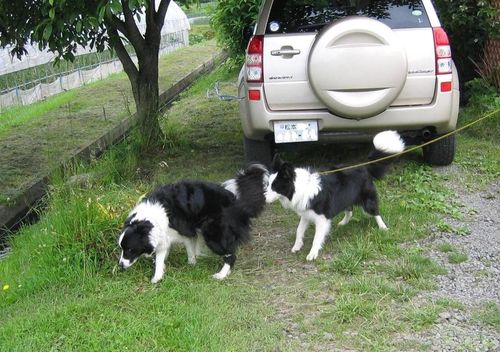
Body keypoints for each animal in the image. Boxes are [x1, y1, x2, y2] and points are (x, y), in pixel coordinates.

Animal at [117, 164, 268, 282]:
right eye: (121, 249)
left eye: (130, 249)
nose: (120, 265)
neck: (148, 221)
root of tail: (237, 203)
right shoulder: (175, 233)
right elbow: (179, 250)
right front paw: (189, 264)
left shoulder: (177, 231)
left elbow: (167, 253)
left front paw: (158, 276)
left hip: (213, 234)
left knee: (231, 254)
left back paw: (221, 274)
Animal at [264, 131, 404, 260]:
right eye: (268, 184)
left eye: (275, 187)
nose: (263, 199)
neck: (300, 188)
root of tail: (364, 166)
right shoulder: (306, 213)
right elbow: (299, 230)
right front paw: (297, 246)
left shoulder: (322, 218)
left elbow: (316, 238)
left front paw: (312, 254)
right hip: (346, 197)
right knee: (350, 210)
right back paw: (343, 222)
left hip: (367, 200)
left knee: (375, 211)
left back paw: (383, 227)